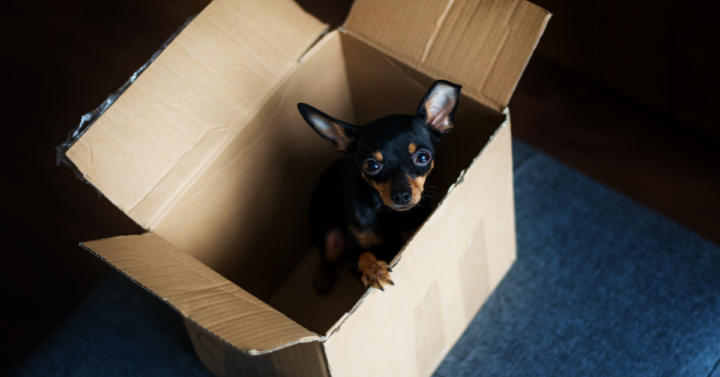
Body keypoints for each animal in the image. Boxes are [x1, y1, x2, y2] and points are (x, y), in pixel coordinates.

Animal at [296, 79, 462, 292]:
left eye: (423, 157)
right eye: (371, 166)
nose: (402, 196)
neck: (387, 212)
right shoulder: (353, 260)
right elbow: (364, 255)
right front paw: (374, 271)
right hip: (331, 238)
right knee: (327, 255)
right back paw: (323, 277)